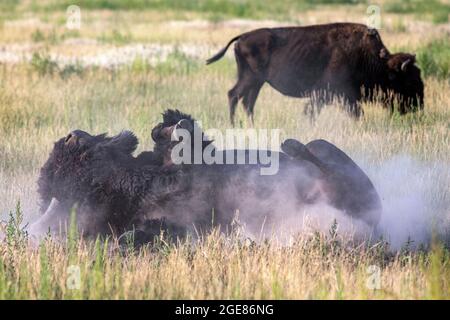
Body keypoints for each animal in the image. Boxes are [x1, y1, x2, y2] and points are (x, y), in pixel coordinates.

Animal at [207, 22, 426, 124]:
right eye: (410, 80)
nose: (419, 105)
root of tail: (241, 37)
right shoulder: (329, 94)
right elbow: (317, 112)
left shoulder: (339, 97)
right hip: (250, 78)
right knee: (234, 95)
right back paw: (235, 126)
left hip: (257, 82)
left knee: (247, 102)